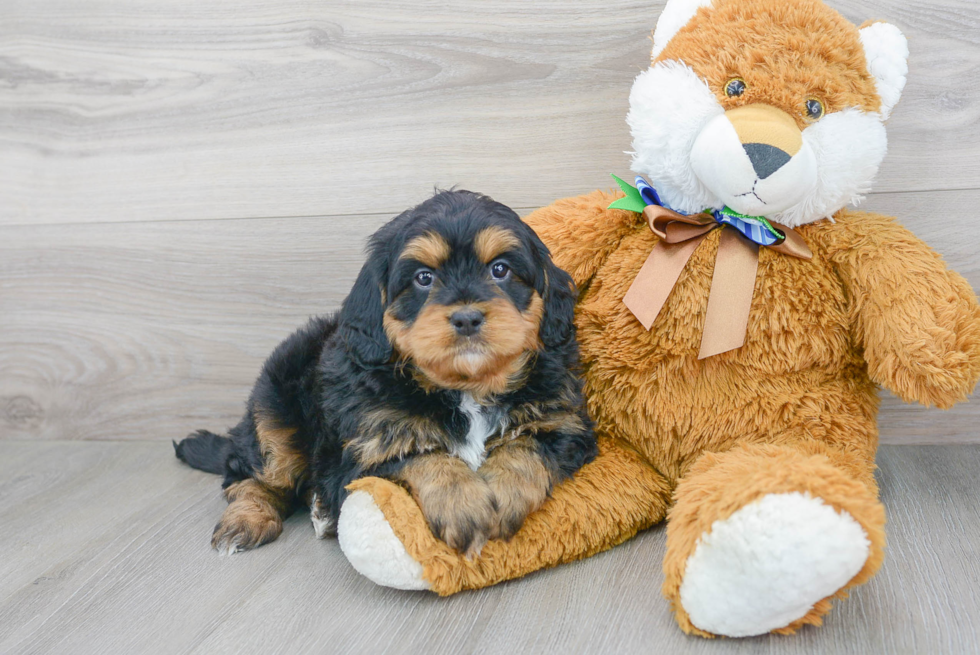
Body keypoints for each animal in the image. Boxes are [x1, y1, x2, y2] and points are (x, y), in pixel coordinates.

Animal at [176, 190, 596, 560]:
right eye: (424, 278)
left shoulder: (565, 422)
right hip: (274, 408)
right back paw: (248, 521)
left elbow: (526, 446)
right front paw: (463, 503)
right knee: (251, 477)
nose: (467, 317)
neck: (466, 387)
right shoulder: (369, 445)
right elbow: (420, 454)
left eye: (500, 270)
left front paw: (503, 491)